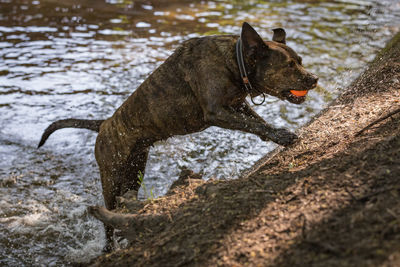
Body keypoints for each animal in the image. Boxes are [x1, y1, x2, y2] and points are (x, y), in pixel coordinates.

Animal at [37, 22, 318, 248]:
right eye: (289, 65)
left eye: (301, 60)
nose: (314, 79)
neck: (235, 60)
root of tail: (105, 124)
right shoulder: (217, 112)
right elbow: (253, 125)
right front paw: (283, 137)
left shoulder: (237, 106)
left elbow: (258, 122)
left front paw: (277, 133)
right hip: (111, 176)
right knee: (107, 217)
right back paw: (108, 248)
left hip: (134, 170)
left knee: (126, 202)